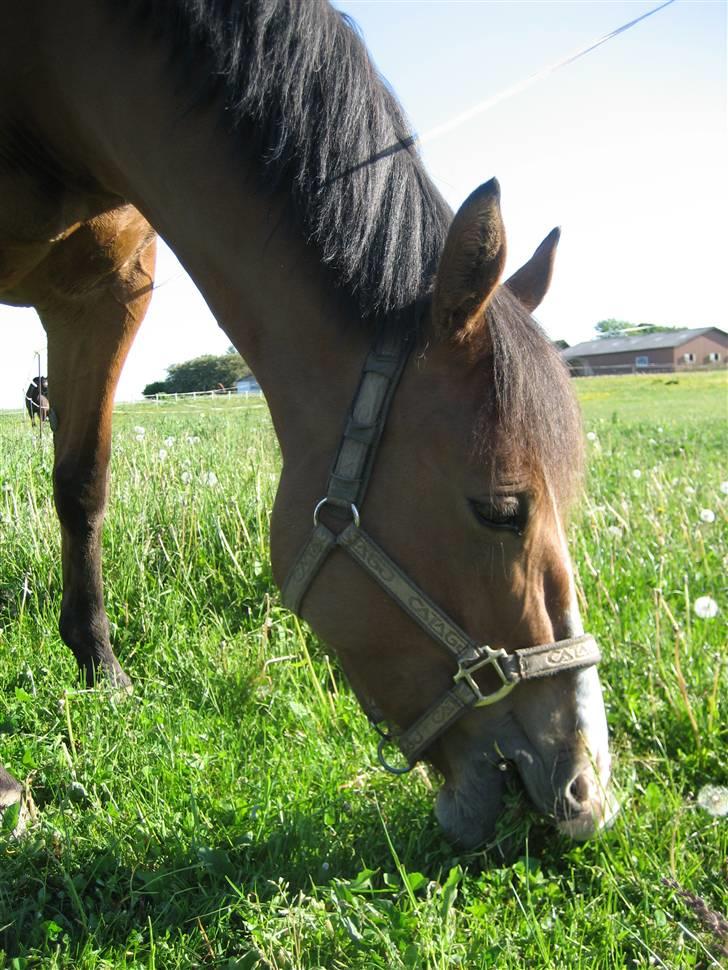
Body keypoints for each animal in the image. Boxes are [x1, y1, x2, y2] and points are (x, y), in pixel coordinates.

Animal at [0, 0, 616, 844]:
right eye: (499, 510)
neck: (52, 91)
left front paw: (100, 666)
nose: (587, 791)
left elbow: (82, 485)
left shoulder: (108, 294)